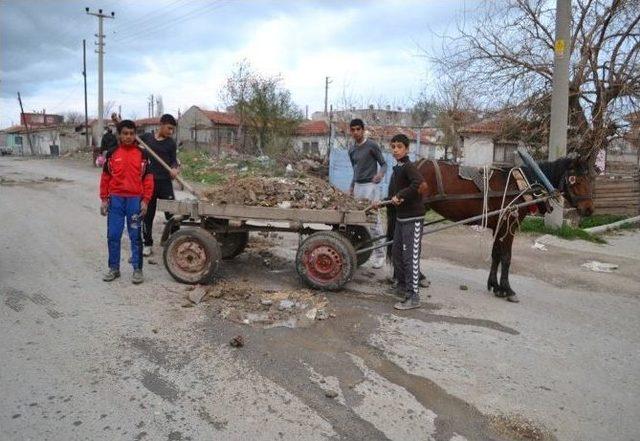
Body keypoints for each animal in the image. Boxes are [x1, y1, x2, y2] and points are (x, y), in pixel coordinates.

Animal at [402, 156, 596, 302]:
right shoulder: (510, 224)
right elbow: (506, 257)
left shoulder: (499, 225)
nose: (589, 209)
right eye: (577, 180)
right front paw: (507, 289)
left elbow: (496, 254)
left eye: (589, 179)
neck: (522, 185)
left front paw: (495, 286)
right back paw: (417, 278)